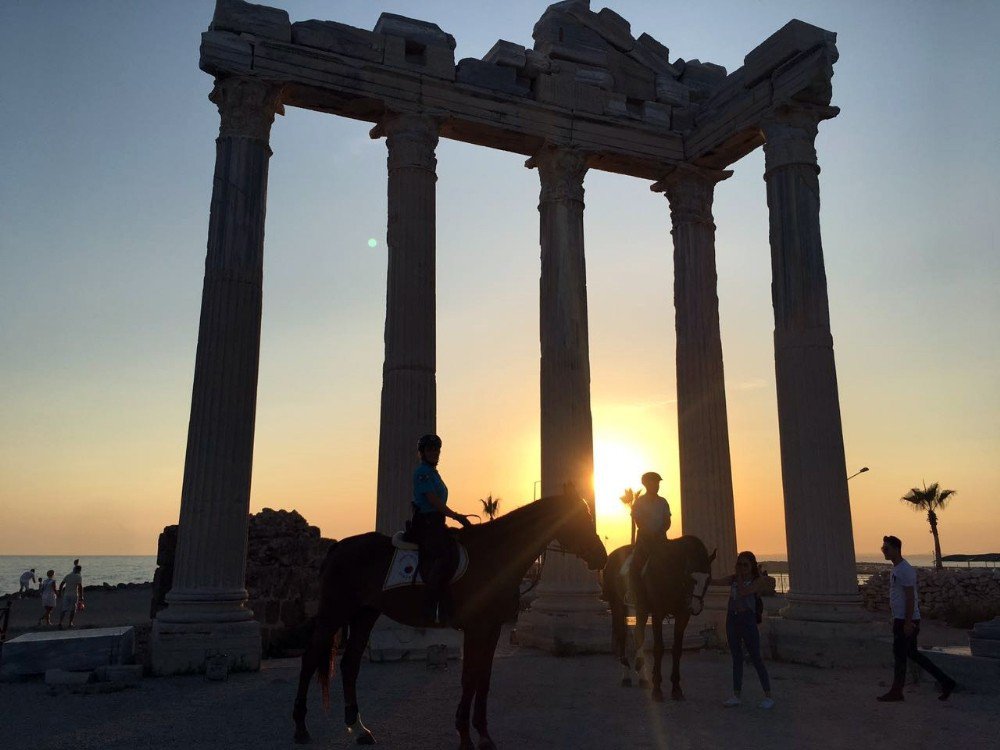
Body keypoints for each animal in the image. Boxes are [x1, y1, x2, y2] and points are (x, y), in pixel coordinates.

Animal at [292, 494, 604, 750]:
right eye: (580, 518)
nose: (600, 556)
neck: (494, 554)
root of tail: (338, 547)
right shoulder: (476, 628)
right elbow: (469, 678)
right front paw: (465, 736)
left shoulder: (491, 629)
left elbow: (483, 679)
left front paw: (483, 734)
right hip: (333, 613)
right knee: (310, 660)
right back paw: (301, 727)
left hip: (364, 614)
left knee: (349, 664)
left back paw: (358, 728)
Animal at [600, 536, 712, 704]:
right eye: (690, 578)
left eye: (708, 579)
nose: (696, 606)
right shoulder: (658, 614)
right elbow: (658, 648)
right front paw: (657, 690)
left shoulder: (682, 616)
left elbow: (676, 649)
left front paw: (676, 689)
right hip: (618, 605)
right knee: (622, 635)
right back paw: (626, 676)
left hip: (641, 610)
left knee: (638, 634)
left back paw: (642, 677)